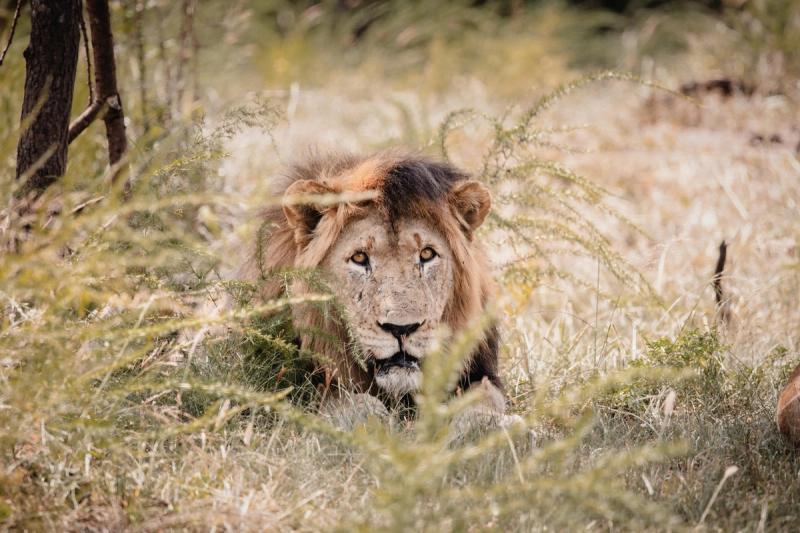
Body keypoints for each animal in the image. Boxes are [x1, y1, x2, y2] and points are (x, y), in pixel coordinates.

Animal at [241, 151, 507, 427]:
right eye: (360, 258)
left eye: (426, 254)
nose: (401, 328)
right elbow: (339, 399)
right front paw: (370, 419)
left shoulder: (480, 373)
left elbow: (487, 398)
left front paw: (480, 424)